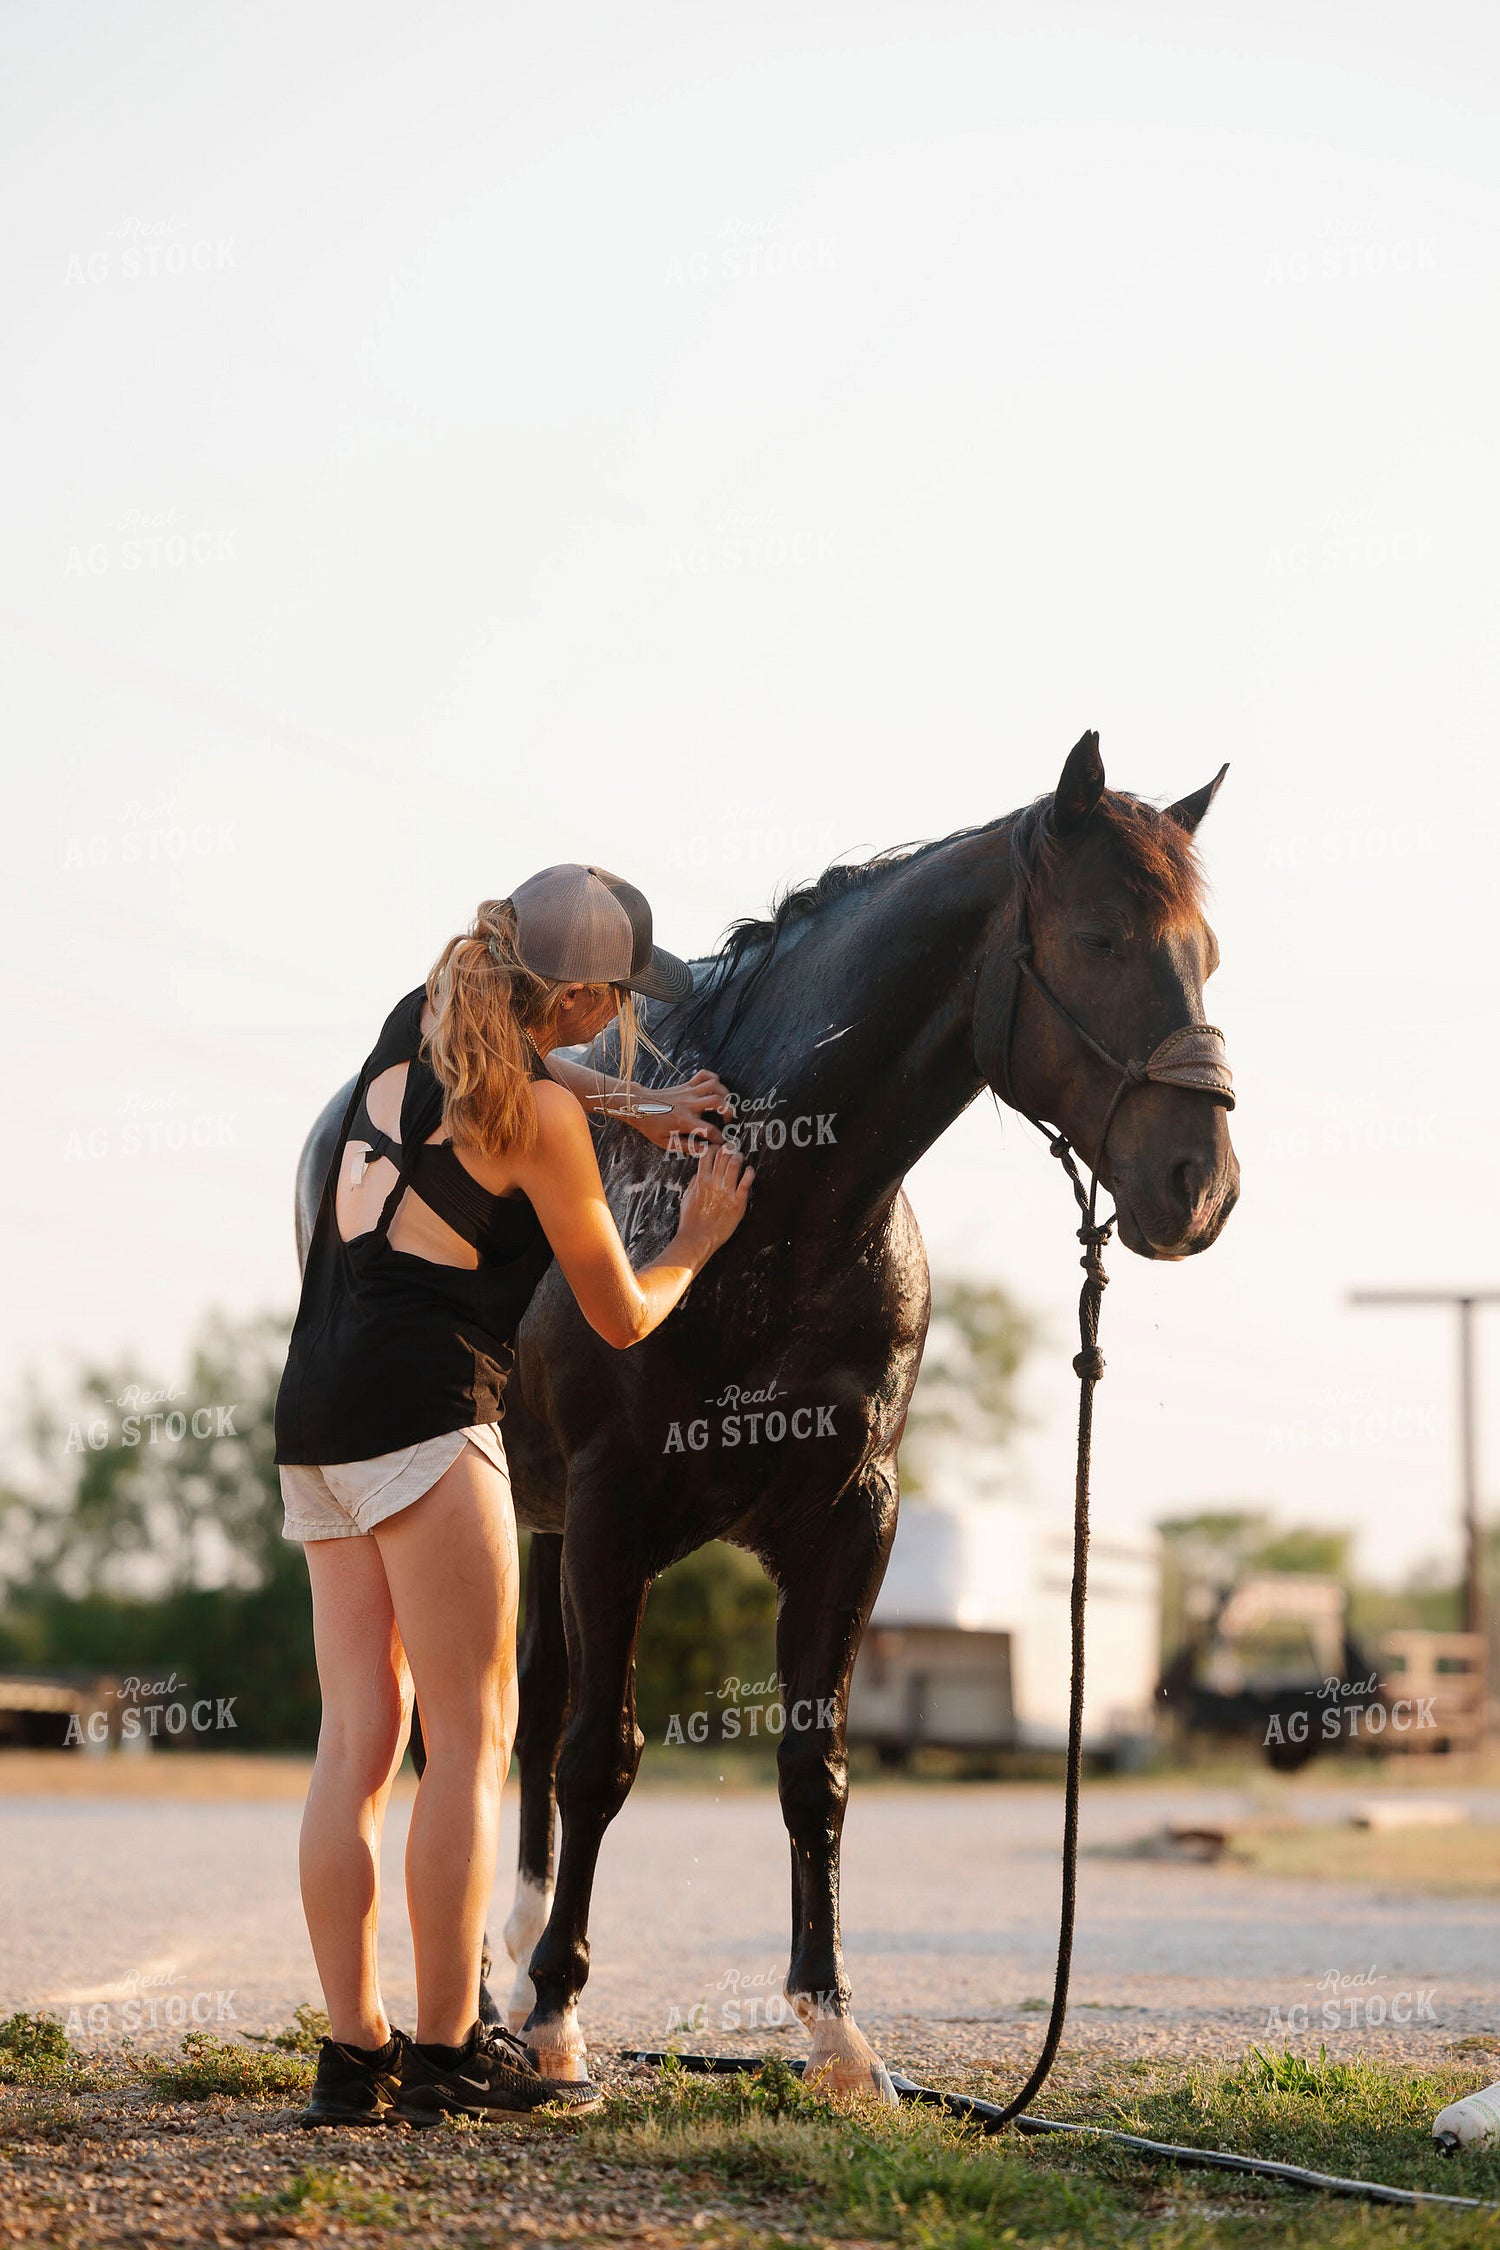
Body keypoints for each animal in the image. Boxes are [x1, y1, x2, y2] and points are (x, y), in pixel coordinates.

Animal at [293, 730, 1239, 2100]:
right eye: (1104, 937)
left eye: (1205, 953)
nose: (1198, 1186)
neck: (788, 1213)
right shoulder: (616, 1507)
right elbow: (602, 1755)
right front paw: (560, 2016)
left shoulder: (849, 1521)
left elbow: (815, 1769)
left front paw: (836, 2032)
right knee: (473, 1741)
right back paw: (489, 1984)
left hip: (537, 1522)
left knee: (521, 1711)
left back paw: (507, 1950)